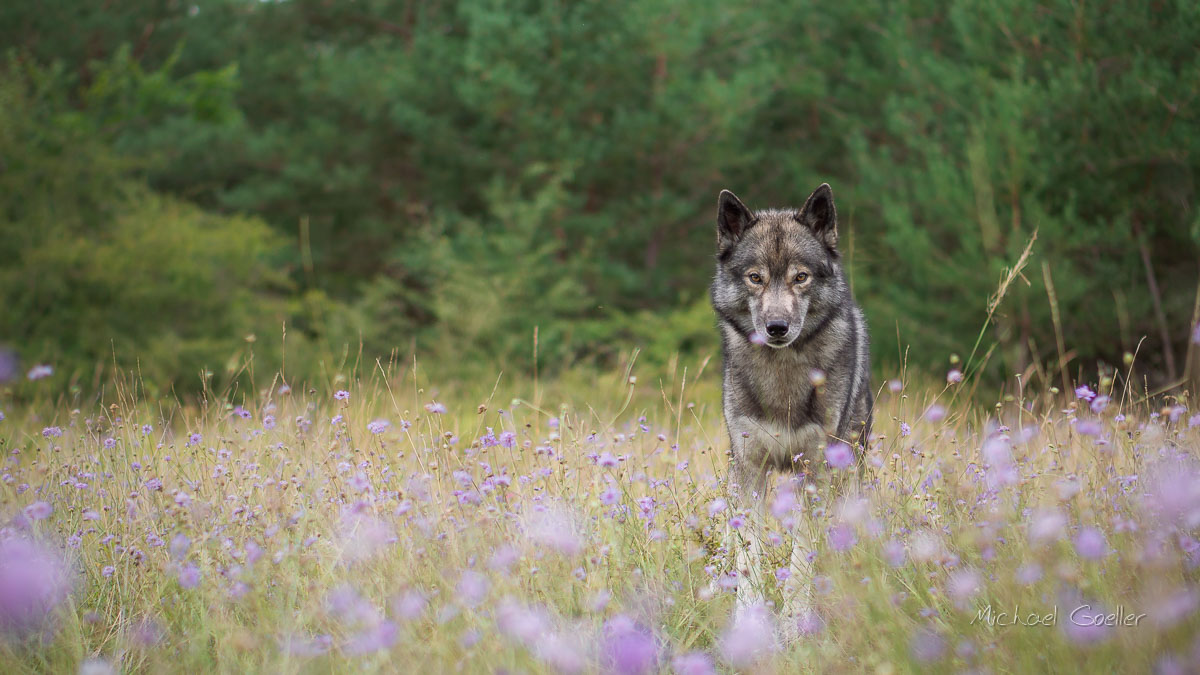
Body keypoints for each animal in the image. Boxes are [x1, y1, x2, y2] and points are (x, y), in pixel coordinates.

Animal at [709, 183, 873, 617]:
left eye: (800, 277)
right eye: (755, 278)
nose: (777, 327)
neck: (782, 375)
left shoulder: (814, 473)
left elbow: (801, 558)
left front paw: (795, 620)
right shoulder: (750, 469)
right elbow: (747, 551)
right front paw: (748, 616)